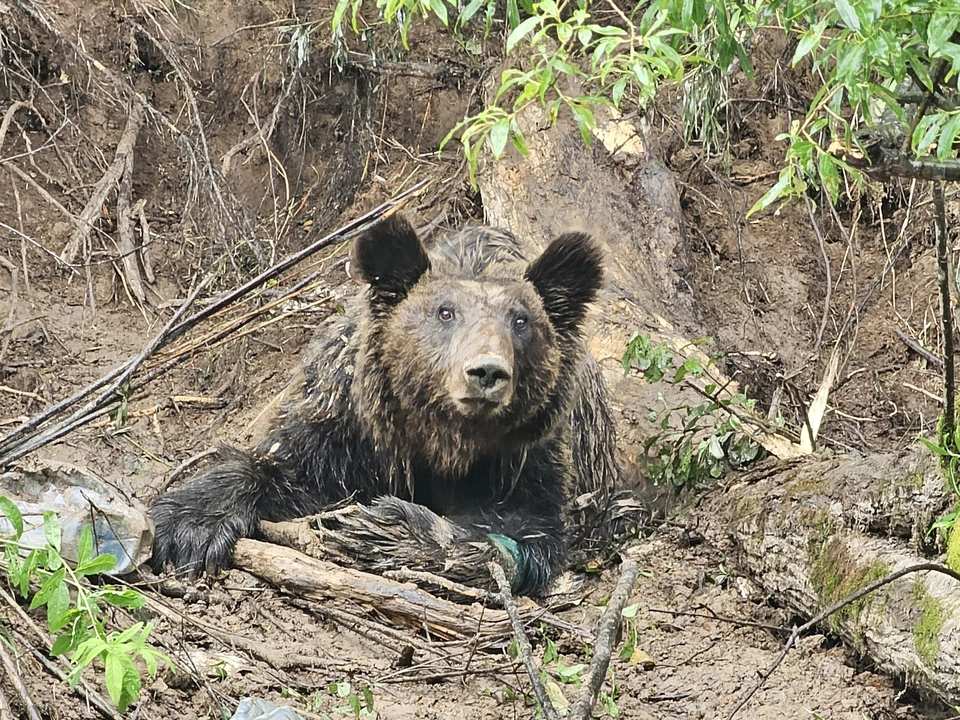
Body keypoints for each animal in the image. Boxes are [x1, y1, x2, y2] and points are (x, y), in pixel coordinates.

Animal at [149, 215, 624, 596]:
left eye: (521, 320)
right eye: (445, 312)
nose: (487, 372)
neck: (446, 440)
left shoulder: (531, 459)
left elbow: (515, 536)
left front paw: (375, 528)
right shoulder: (348, 426)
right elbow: (282, 466)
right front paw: (186, 525)